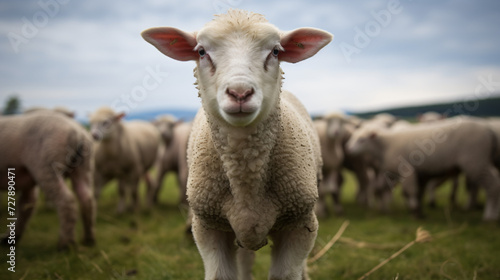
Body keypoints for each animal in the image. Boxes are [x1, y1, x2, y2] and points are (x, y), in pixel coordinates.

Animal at [0, 111, 95, 249]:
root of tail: (77, 132)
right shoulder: (27, 181)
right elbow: (27, 204)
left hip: (47, 165)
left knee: (67, 201)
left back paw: (65, 244)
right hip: (84, 167)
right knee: (87, 199)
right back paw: (89, 240)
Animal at [142, 9, 332, 280]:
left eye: (276, 51)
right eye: (201, 51)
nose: (240, 93)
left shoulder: (299, 224)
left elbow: (285, 274)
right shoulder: (208, 227)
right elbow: (221, 274)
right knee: (245, 259)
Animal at [346, 116, 500, 221]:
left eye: (361, 140)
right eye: (353, 137)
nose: (348, 149)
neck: (385, 145)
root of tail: (488, 129)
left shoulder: (407, 170)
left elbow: (411, 192)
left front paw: (415, 212)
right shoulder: (410, 173)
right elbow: (386, 188)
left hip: (475, 161)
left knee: (493, 185)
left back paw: (489, 216)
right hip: (478, 162)